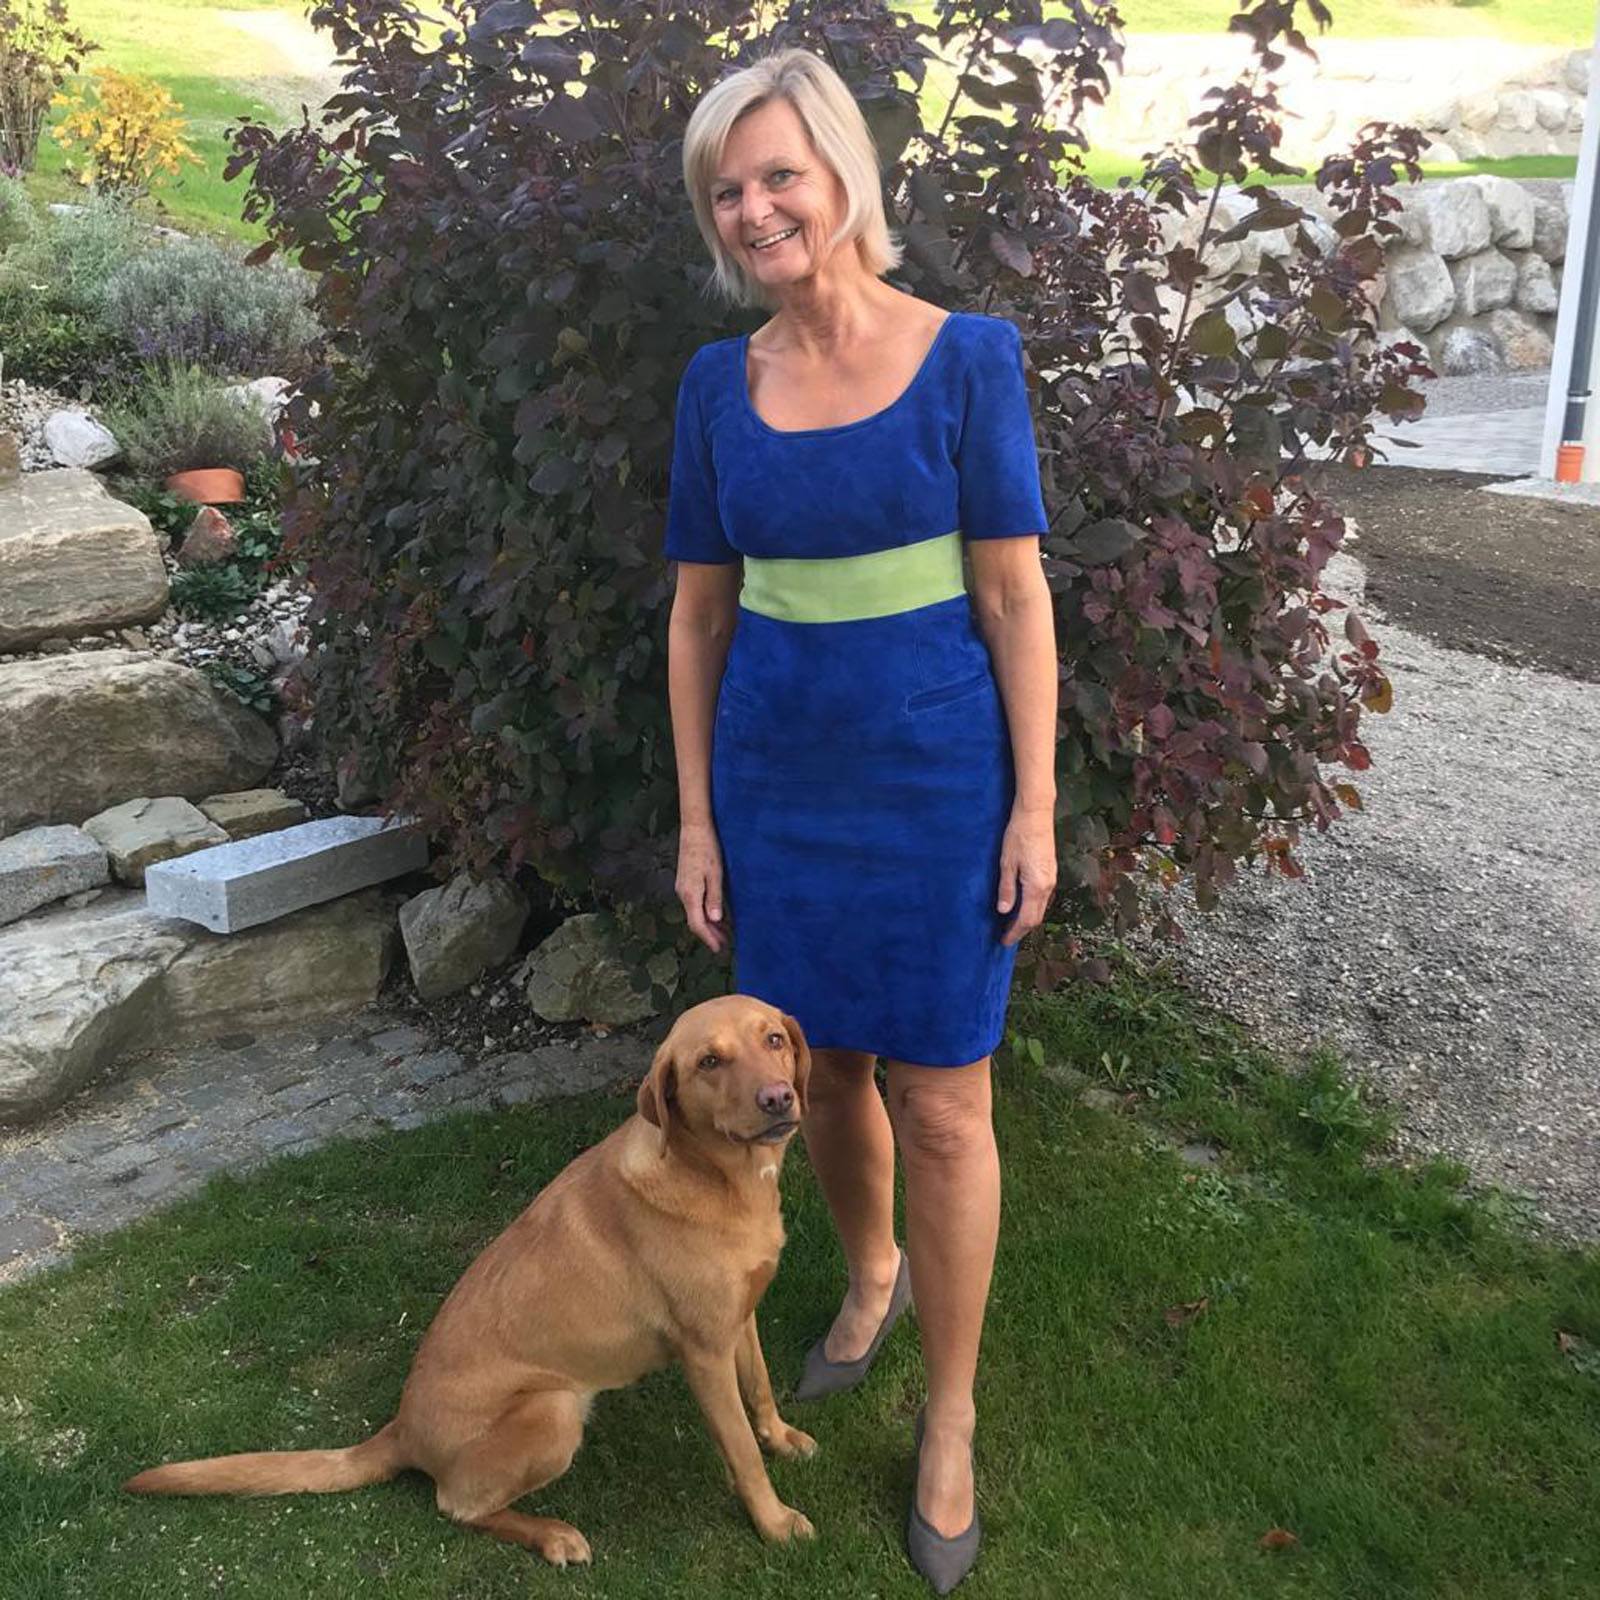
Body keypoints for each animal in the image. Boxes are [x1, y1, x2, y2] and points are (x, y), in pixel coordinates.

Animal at [124, 995, 819, 1566]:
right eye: (709, 1061)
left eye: (773, 1040)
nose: (778, 1098)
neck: (719, 1177)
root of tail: (400, 1430)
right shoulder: (703, 1353)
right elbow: (742, 1451)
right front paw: (774, 1522)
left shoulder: (739, 1320)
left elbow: (760, 1390)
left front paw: (782, 1438)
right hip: (554, 1411)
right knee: (456, 1505)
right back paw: (552, 1535)